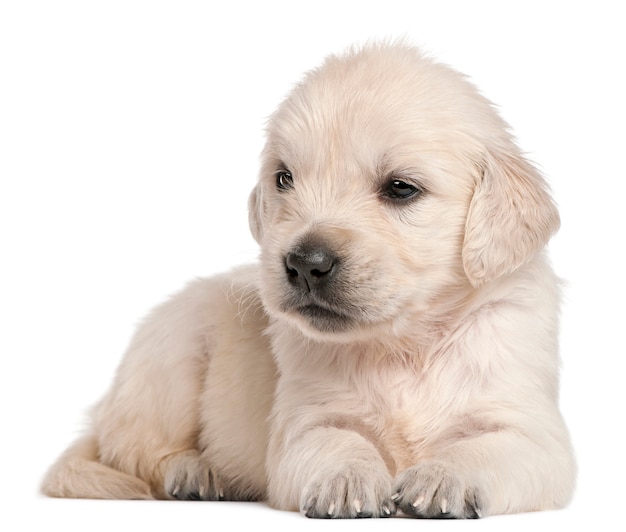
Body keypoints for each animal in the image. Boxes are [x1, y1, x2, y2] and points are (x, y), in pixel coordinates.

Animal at [40, 43, 576, 516]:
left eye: (401, 188)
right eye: (285, 178)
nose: (304, 263)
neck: (405, 346)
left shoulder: (532, 432)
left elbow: (489, 448)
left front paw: (442, 476)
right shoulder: (305, 424)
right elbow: (338, 441)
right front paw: (348, 480)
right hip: (170, 360)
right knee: (136, 452)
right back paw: (197, 472)